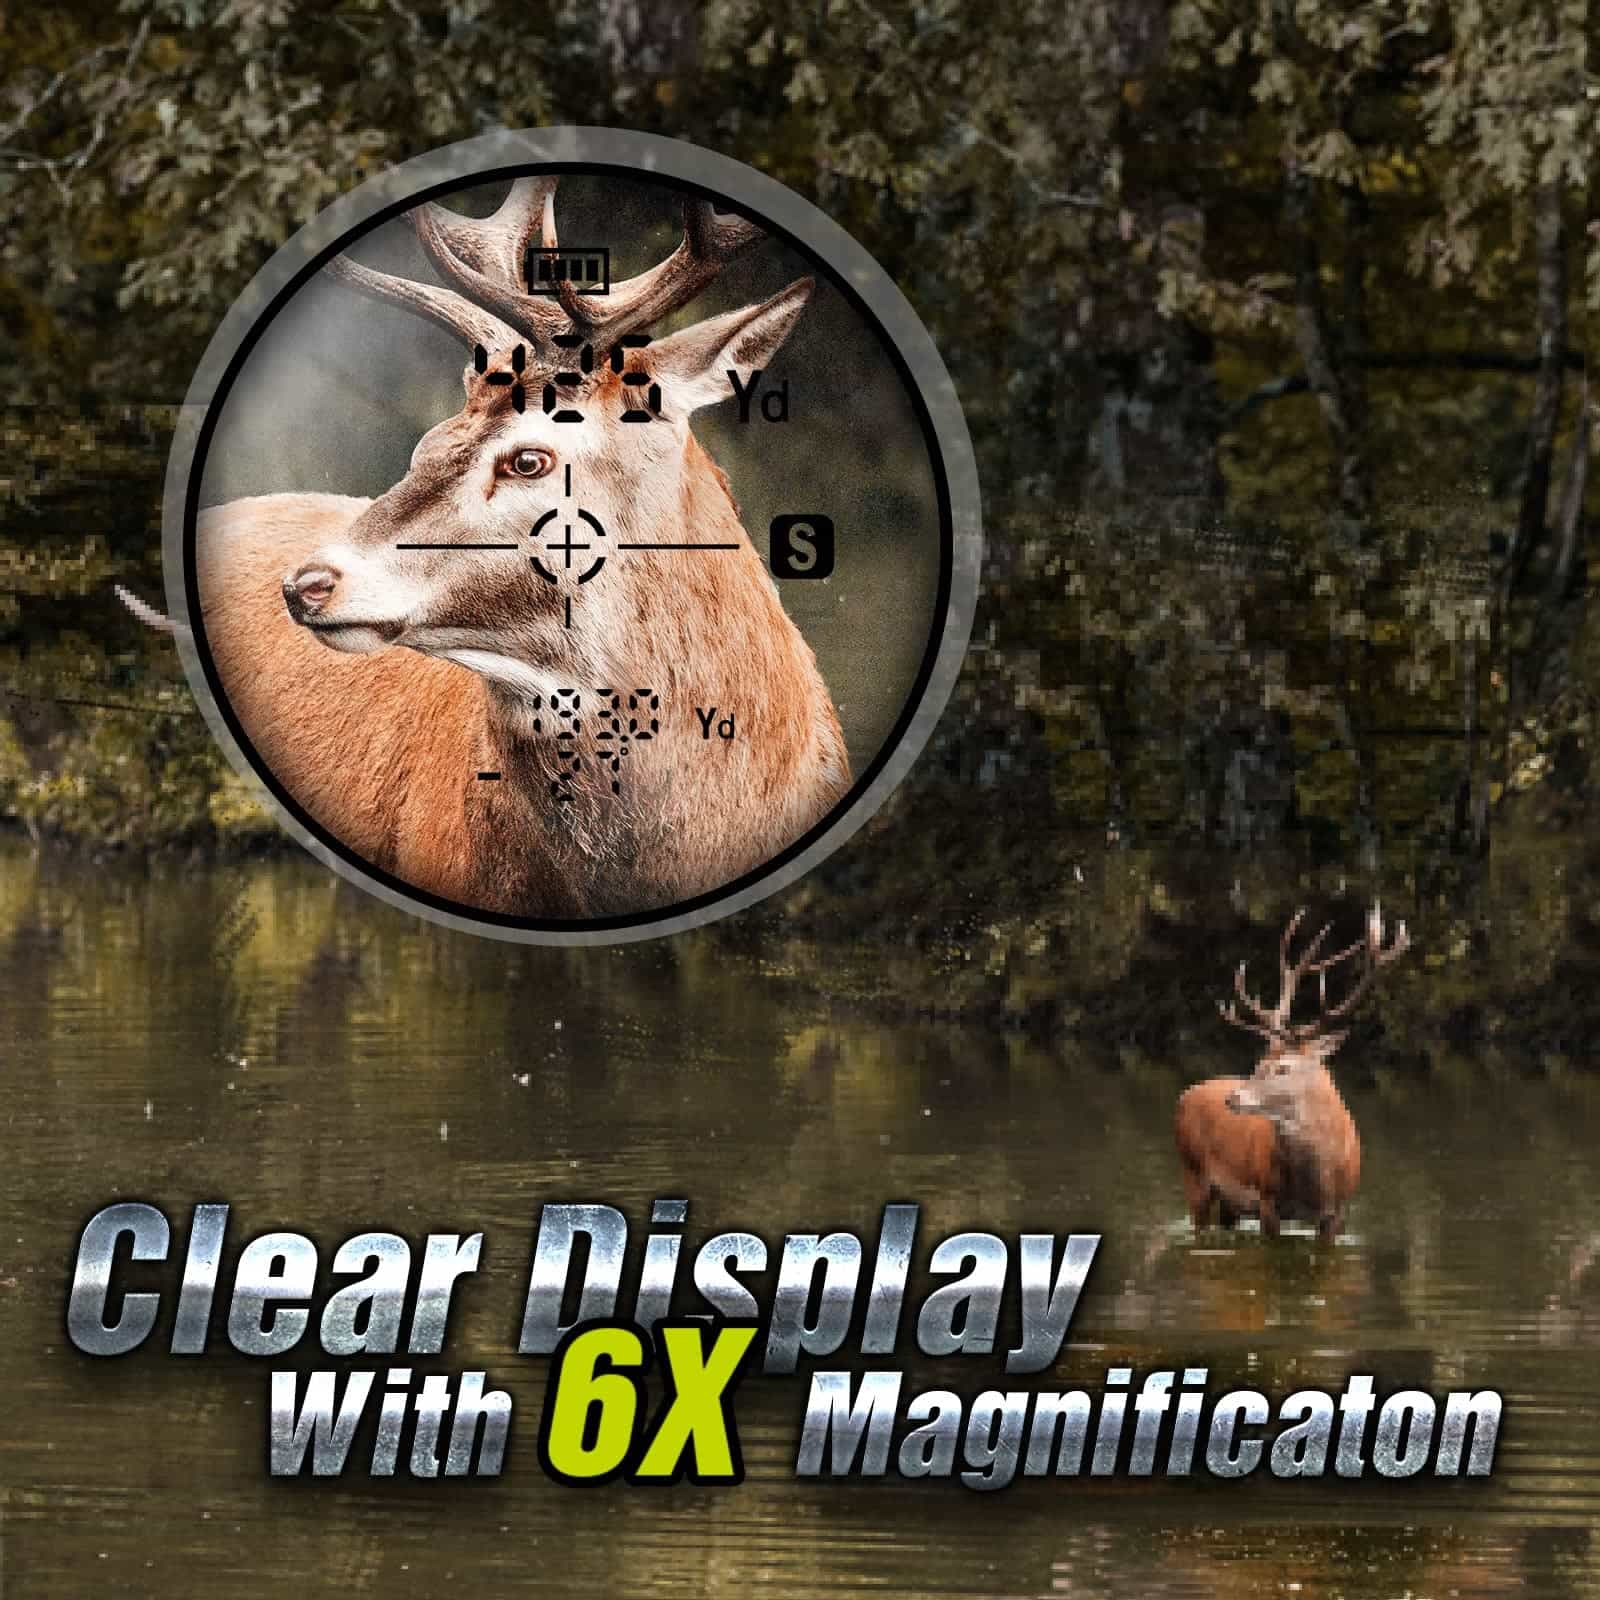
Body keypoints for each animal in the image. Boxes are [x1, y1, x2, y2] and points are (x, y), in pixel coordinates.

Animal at [1174, 905, 1409, 1240]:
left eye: (1282, 1068)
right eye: (1258, 1063)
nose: (1232, 1098)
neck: (1315, 1185)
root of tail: (1185, 1093)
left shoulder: (1338, 1211)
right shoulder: (1266, 1199)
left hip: (1228, 1201)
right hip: (1193, 1174)